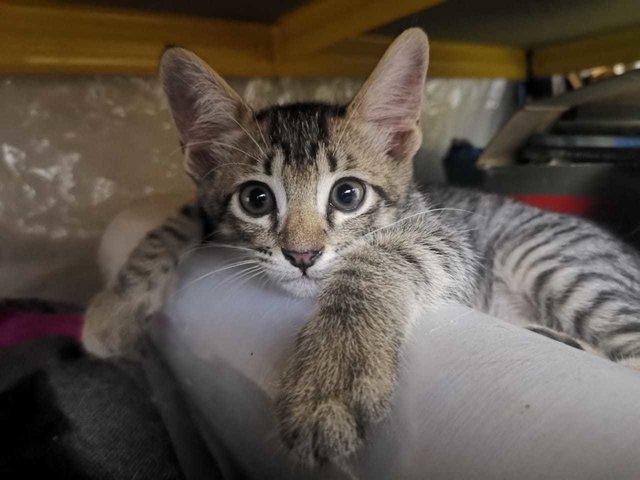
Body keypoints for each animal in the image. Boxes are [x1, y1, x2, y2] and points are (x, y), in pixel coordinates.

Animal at [82, 28, 640, 466]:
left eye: (347, 195)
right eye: (256, 199)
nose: (302, 256)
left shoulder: (447, 236)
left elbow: (380, 256)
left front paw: (332, 377)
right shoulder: (206, 206)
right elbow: (178, 219)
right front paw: (114, 309)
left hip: (552, 259)